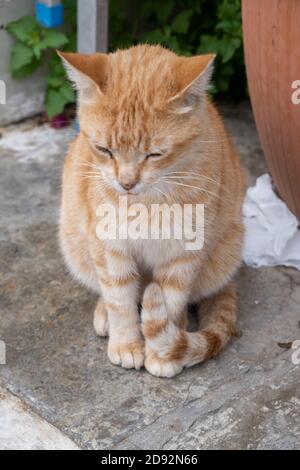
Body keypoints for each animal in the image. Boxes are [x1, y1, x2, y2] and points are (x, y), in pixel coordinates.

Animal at [59, 45, 246, 378]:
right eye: (104, 150)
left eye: (154, 154)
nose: (126, 182)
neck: (146, 203)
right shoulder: (109, 247)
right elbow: (119, 300)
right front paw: (127, 344)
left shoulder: (183, 255)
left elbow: (171, 303)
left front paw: (163, 353)